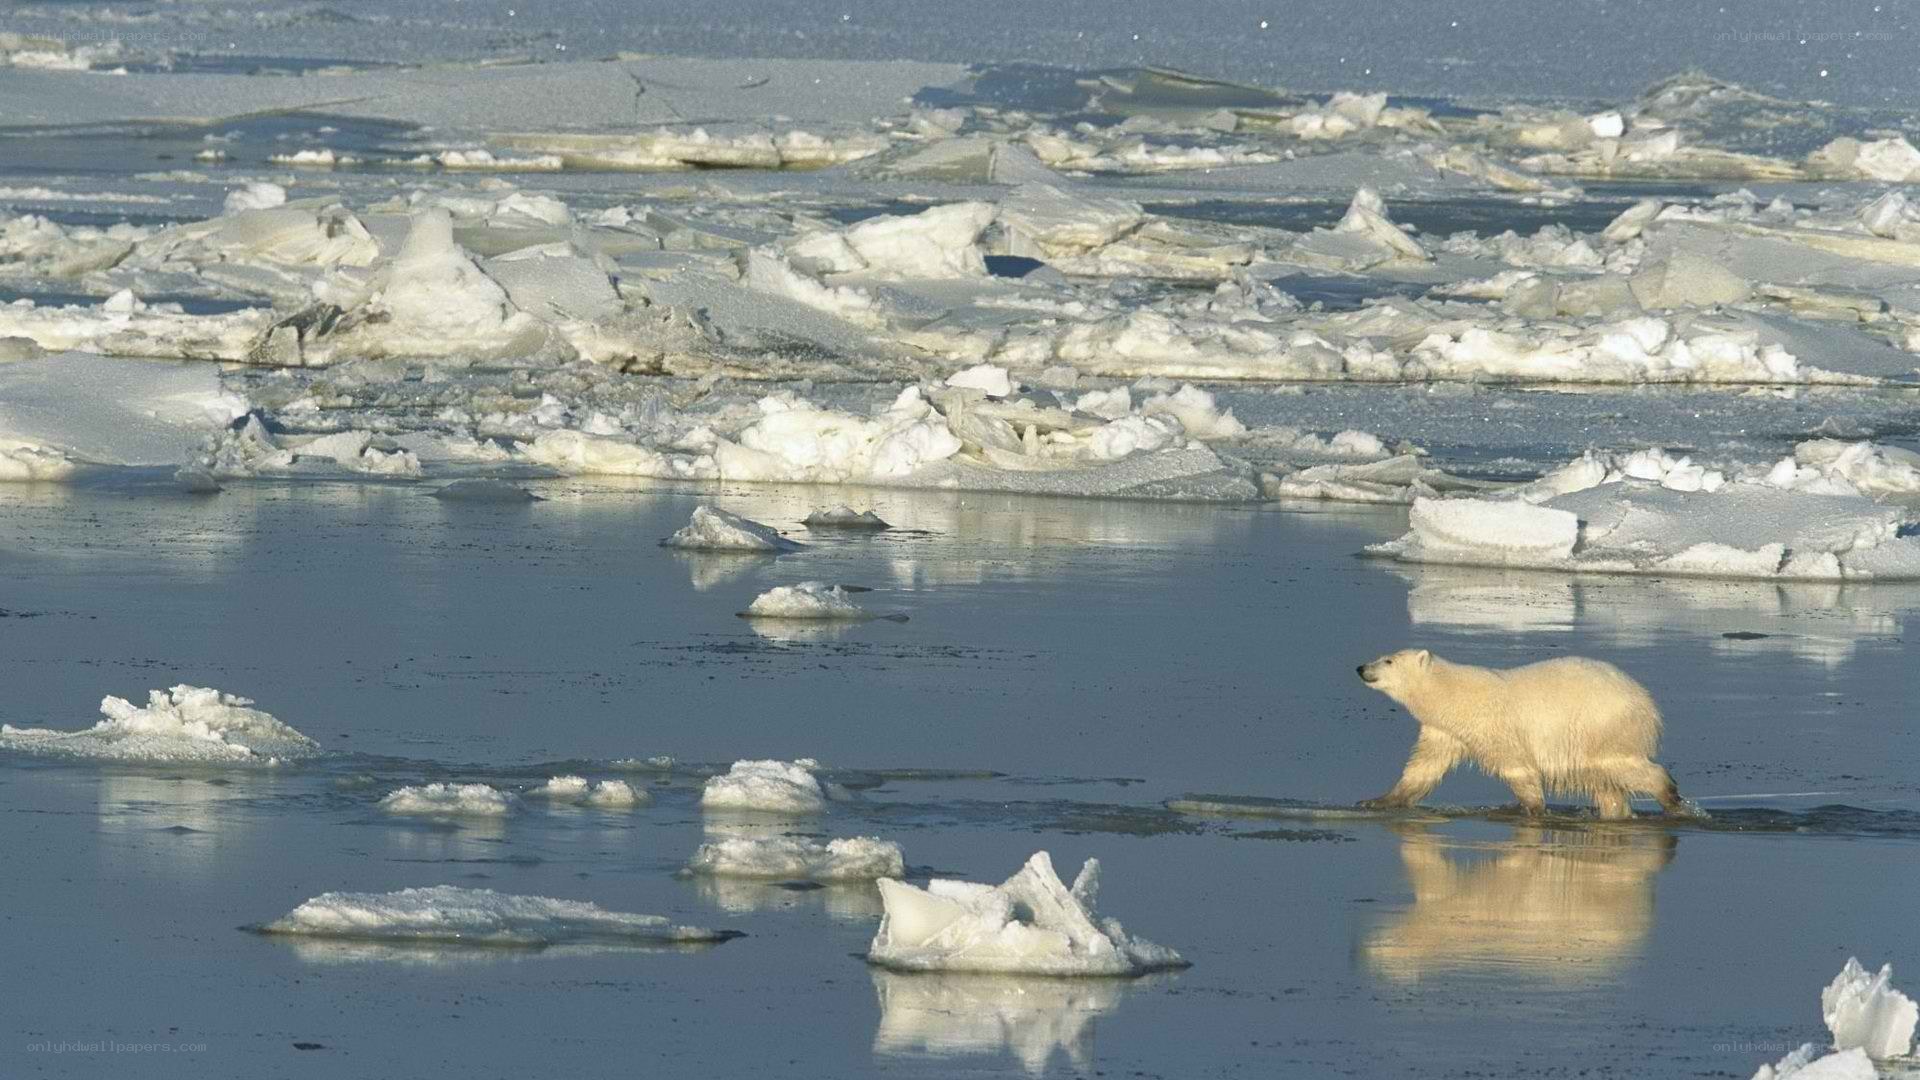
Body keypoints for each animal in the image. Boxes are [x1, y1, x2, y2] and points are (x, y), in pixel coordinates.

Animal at [1355, 649, 1685, 819]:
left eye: (1388, 660)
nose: (1360, 667)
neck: (1455, 696)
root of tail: (1647, 703)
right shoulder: (1443, 731)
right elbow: (1423, 768)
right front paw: (1376, 801)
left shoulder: (1492, 723)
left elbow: (1515, 765)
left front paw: (1531, 808)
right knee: (1606, 785)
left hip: (1603, 727)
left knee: (1622, 767)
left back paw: (1670, 797)